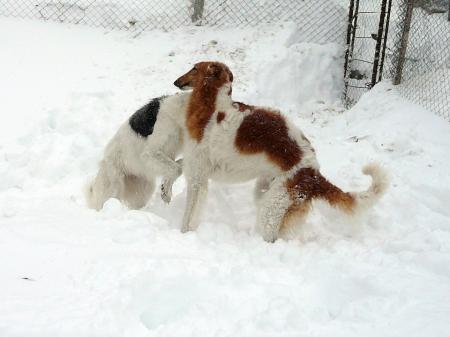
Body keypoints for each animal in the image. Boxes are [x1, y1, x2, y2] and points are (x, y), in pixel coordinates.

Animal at [174, 61, 388, 242]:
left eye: (194, 68)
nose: (176, 82)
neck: (213, 108)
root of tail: (315, 174)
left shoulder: (197, 180)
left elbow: (187, 218)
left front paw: (182, 235)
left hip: (272, 206)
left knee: (272, 237)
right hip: (268, 193)